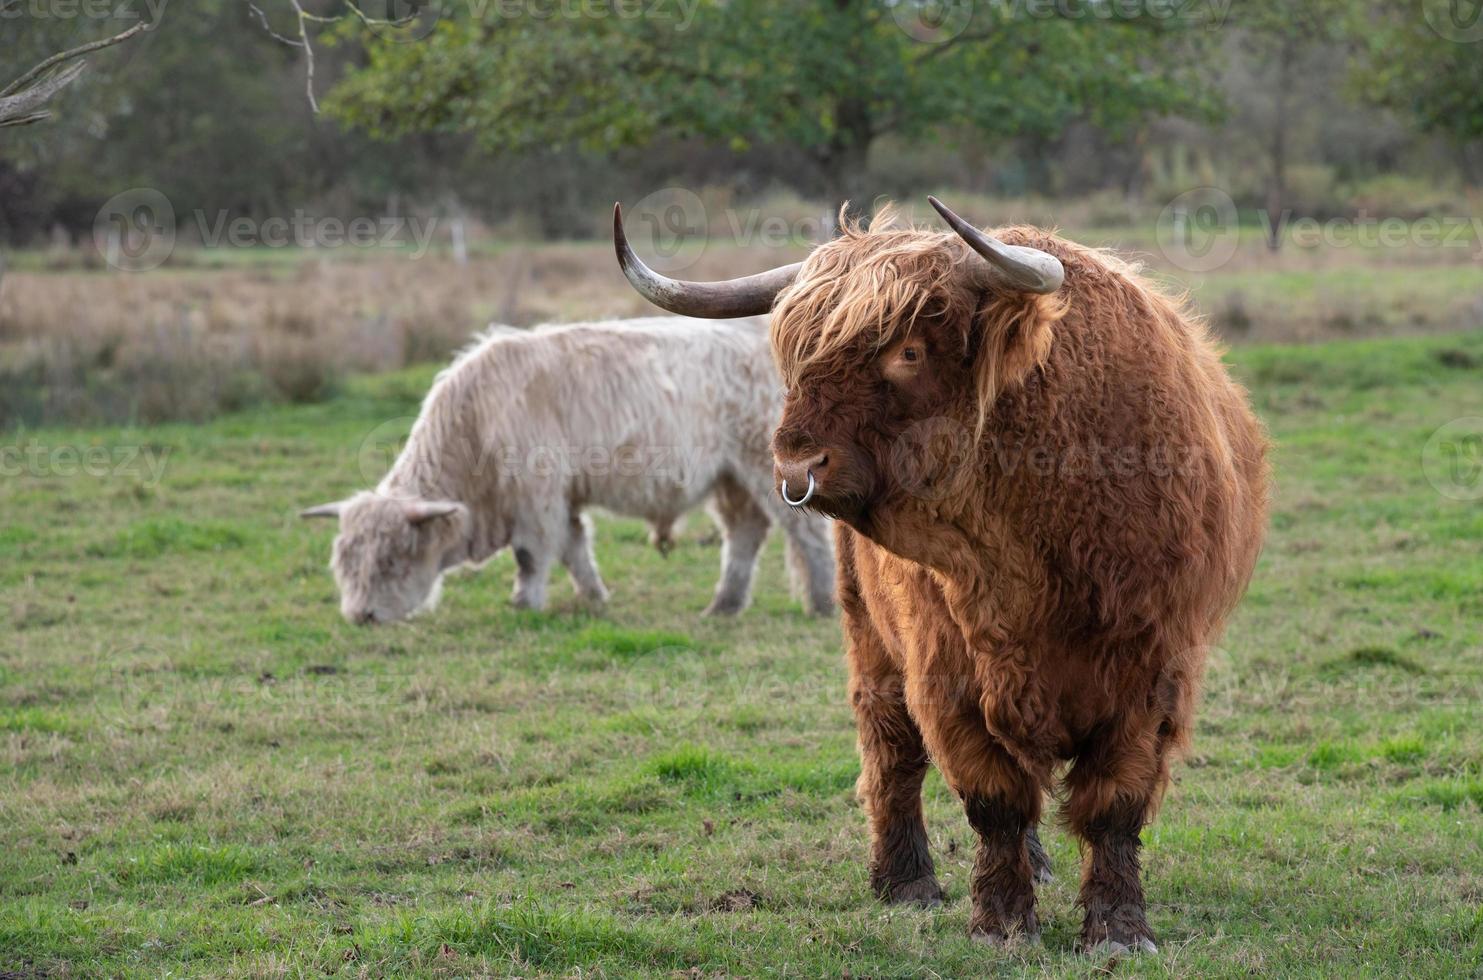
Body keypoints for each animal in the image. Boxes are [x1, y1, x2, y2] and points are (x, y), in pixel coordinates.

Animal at [301, 321, 836, 625]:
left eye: (391, 561)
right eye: (344, 564)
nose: (361, 615)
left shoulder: (535, 494)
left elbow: (532, 553)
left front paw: (525, 603)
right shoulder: (563, 496)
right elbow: (575, 547)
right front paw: (594, 598)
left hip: (764, 468)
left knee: (804, 533)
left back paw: (822, 602)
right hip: (730, 478)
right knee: (744, 534)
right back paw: (723, 604)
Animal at [610, 194, 1263, 948]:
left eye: (909, 351)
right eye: (797, 355)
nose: (796, 467)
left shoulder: (1153, 669)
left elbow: (1114, 803)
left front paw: (1120, 928)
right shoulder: (945, 670)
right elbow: (994, 797)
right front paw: (1001, 922)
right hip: (868, 634)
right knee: (889, 750)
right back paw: (906, 881)